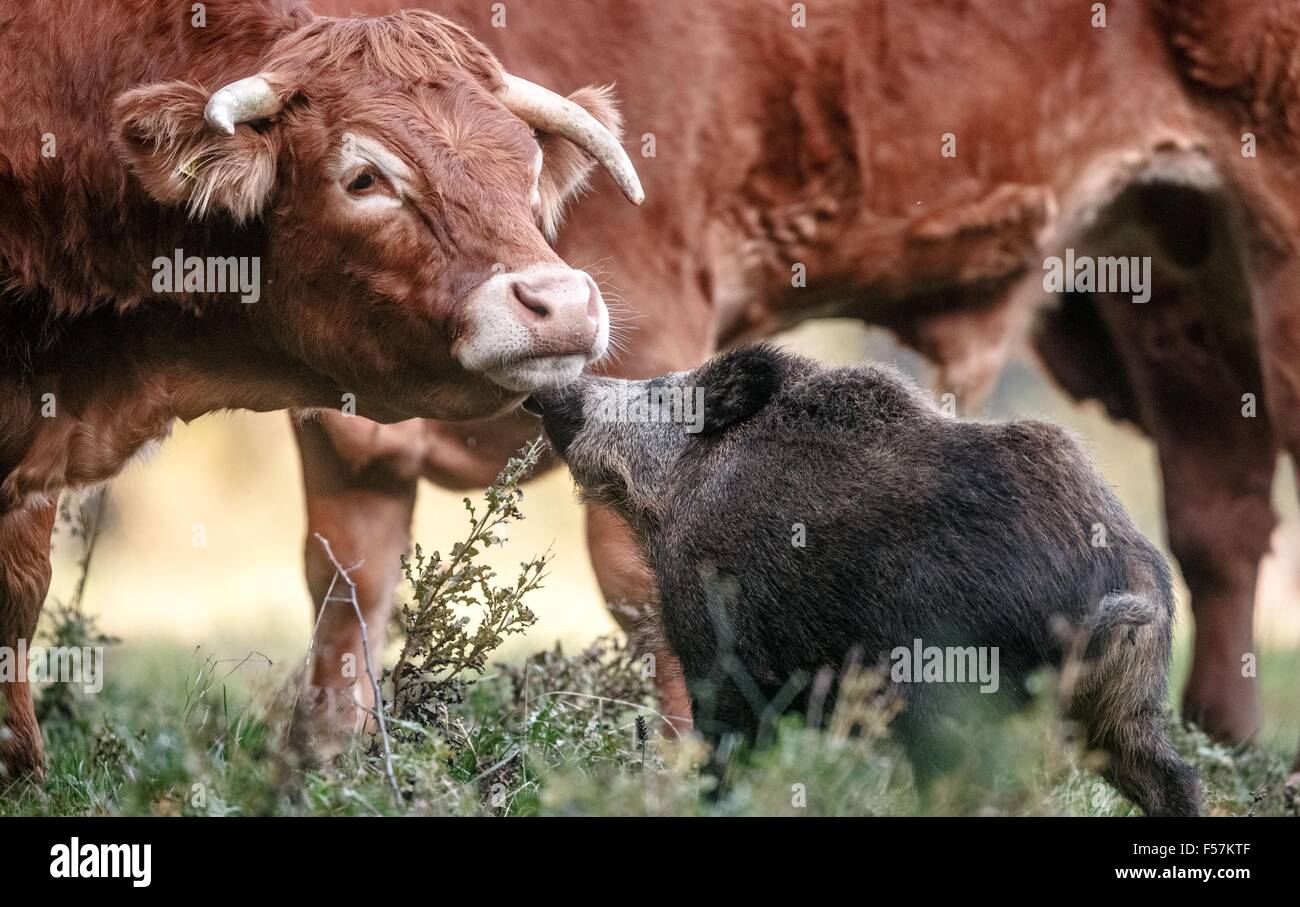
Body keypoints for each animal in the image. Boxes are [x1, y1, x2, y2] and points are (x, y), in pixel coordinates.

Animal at [295, 0, 1300, 779]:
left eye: (523, 165)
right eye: (361, 176)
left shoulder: (658, 311)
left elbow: (639, 594)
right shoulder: (341, 435)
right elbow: (345, 586)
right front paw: (327, 765)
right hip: (1169, 295)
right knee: (1219, 516)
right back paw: (1225, 743)